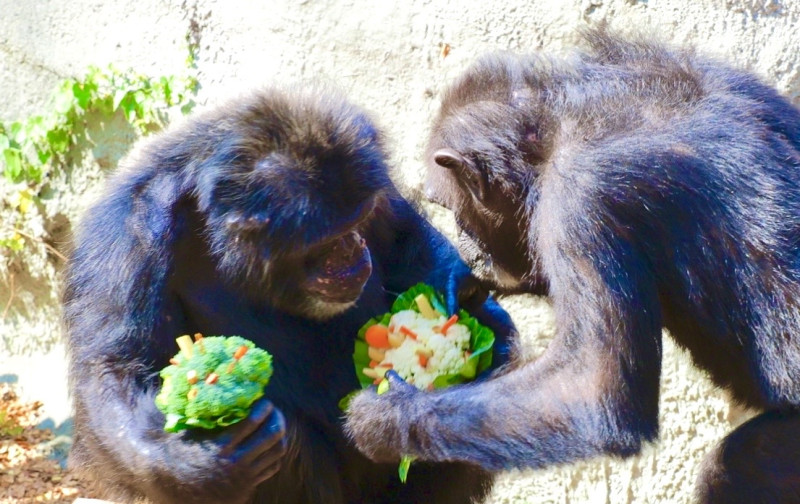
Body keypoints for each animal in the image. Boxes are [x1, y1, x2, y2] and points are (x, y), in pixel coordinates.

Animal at [64, 86, 512, 504]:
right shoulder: (129, 240)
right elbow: (116, 369)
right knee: (278, 441)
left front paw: (475, 308)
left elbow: (403, 237)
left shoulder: (374, 178)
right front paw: (197, 463)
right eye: (327, 241)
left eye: (361, 218)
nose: (353, 247)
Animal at [346, 29, 800, 502]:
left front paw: (386, 417)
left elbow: (588, 387)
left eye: (450, 206)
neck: (560, 127)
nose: (464, 244)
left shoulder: (578, 201)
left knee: (736, 468)